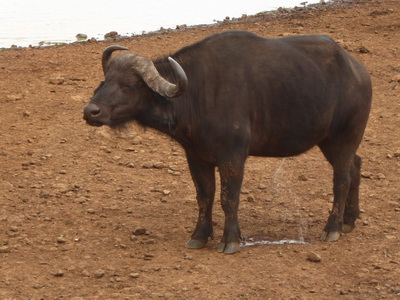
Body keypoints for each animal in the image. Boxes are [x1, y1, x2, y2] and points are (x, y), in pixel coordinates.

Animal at [83, 31, 372, 254]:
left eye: (128, 84)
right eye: (105, 80)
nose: (90, 111)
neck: (198, 93)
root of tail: (359, 72)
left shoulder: (232, 156)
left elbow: (228, 197)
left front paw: (230, 240)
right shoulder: (196, 156)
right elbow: (204, 196)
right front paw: (199, 235)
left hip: (345, 137)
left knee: (341, 178)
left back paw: (333, 228)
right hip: (331, 142)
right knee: (356, 166)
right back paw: (349, 220)